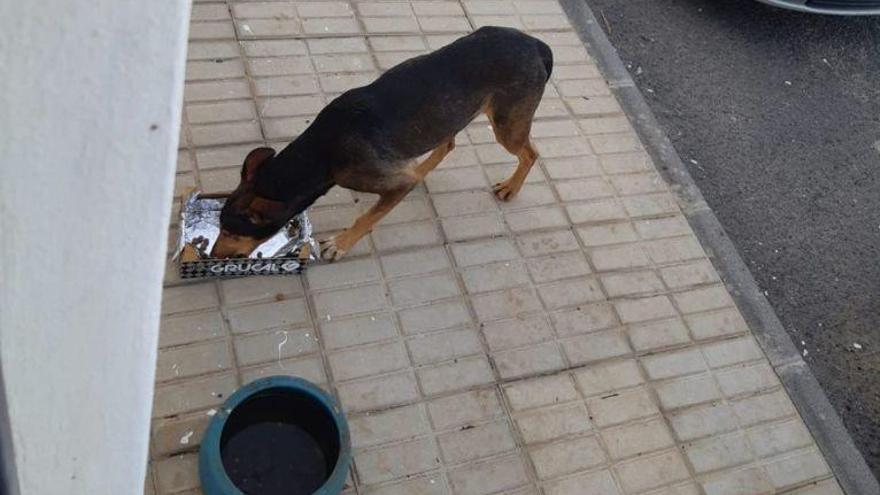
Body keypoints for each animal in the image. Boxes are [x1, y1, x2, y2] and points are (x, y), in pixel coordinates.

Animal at [211, 26, 552, 262]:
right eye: (221, 226)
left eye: (230, 231)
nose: (213, 255)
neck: (324, 150)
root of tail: (537, 45)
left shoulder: (387, 183)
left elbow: (368, 217)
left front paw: (341, 244)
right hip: (449, 114)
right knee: (447, 145)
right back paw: (421, 169)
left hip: (507, 125)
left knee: (531, 153)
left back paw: (511, 187)